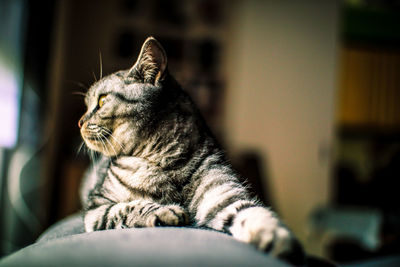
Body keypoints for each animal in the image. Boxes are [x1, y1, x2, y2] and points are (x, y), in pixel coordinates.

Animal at [78, 36, 304, 264]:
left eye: (102, 101)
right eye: (88, 105)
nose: (79, 122)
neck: (163, 160)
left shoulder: (224, 197)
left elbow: (254, 213)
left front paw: (277, 237)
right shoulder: (97, 208)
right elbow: (128, 206)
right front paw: (166, 211)